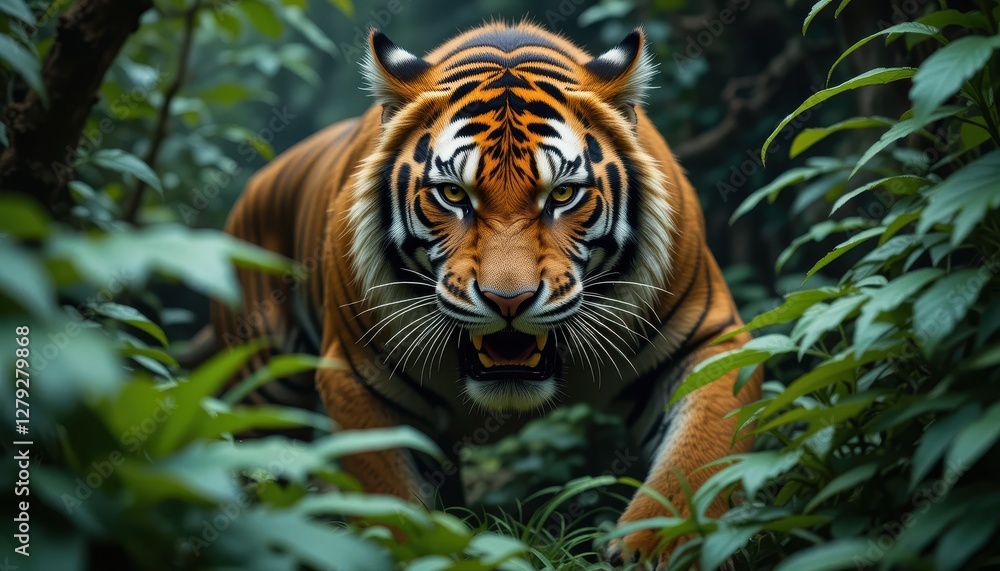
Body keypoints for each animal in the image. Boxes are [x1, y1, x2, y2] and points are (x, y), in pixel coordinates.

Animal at [207, 21, 762, 567]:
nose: (508, 301)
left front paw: (662, 544)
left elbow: (697, 461)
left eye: (563, 194)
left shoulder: (707, 340)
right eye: (454, 194)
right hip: (260, 384)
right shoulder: (356, 378)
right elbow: (391, 506)